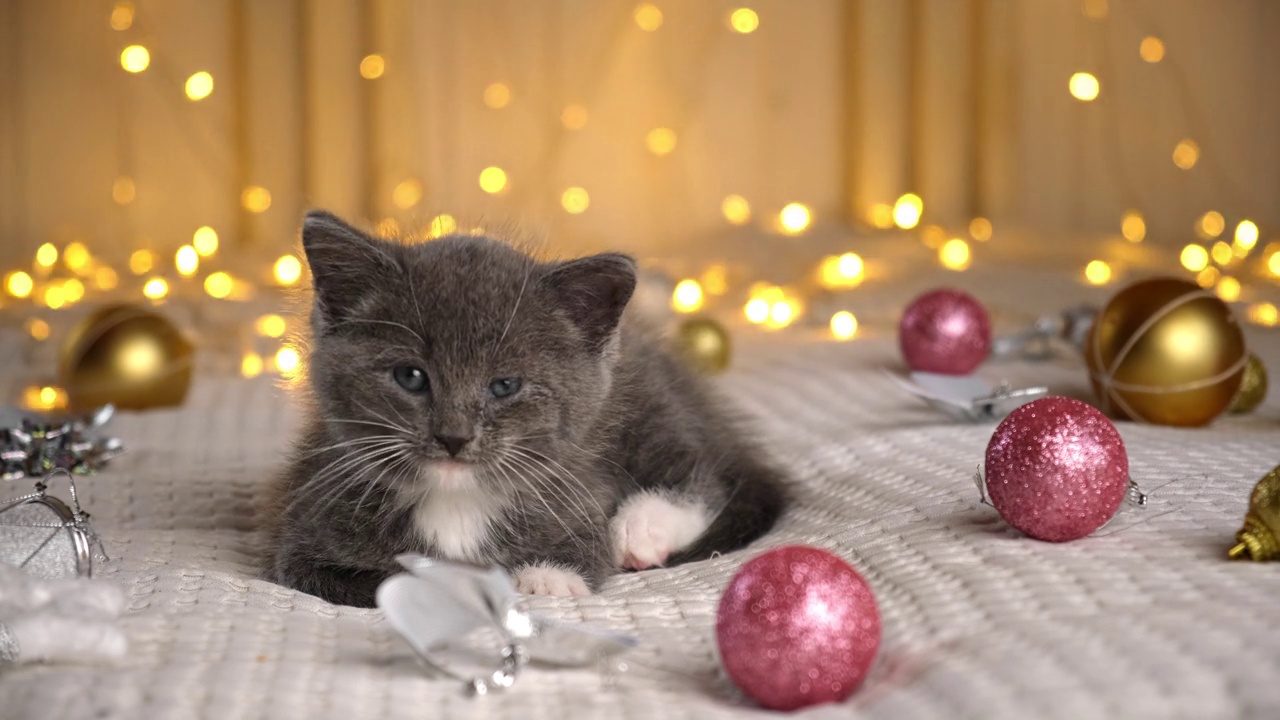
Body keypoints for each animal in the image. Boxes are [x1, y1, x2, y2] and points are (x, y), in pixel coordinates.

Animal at [266, 208, 783, 604]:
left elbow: (582, 557)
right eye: (410, 376)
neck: (457, 500)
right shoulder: (303, 533)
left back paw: (640, 528)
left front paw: (547, 578)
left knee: (703, 471)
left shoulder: (577, 485)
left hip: (645, 402)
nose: (453, 437)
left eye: (504, 386)